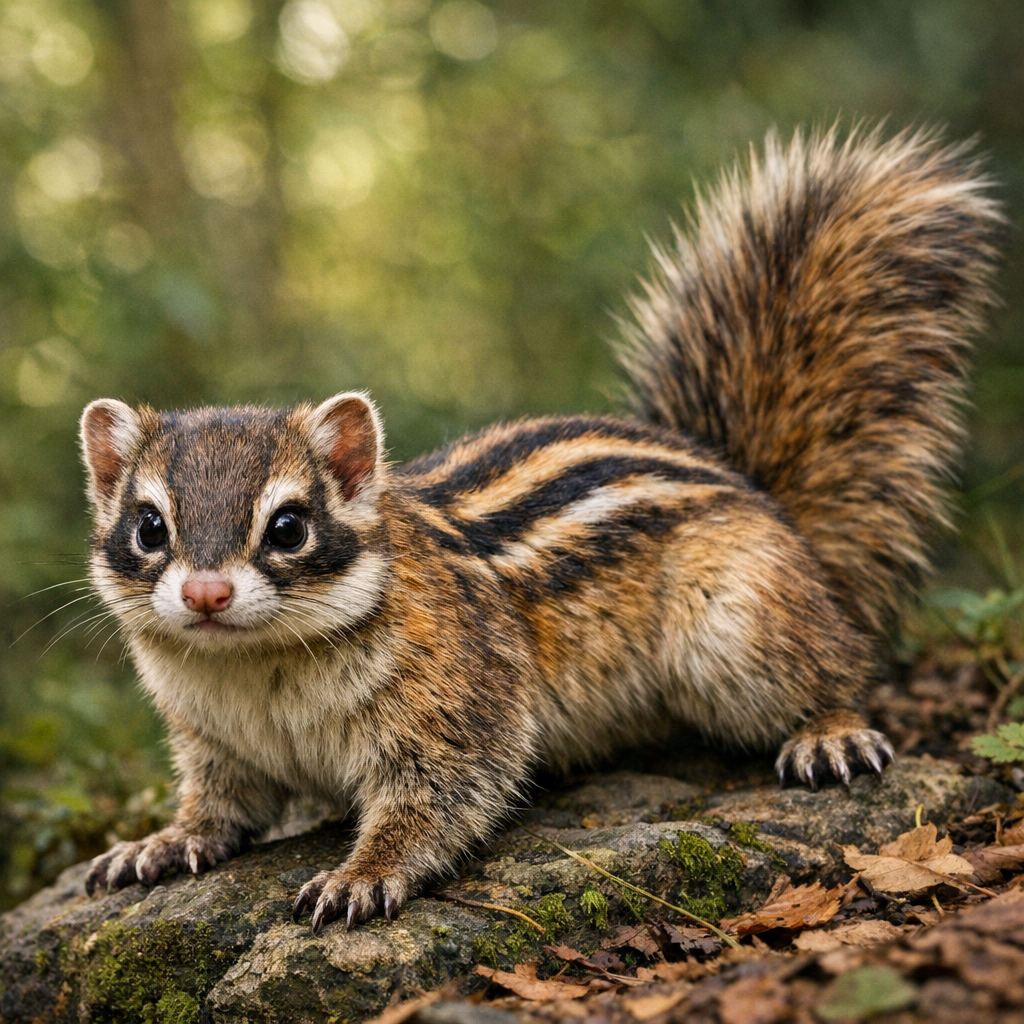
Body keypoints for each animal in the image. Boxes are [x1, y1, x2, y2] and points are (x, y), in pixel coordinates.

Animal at [78, 126, 1002, 931]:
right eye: (150, 527)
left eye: (289, 527)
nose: (205, 593)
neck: (256, 672)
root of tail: (761, 499)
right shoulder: (215, 745)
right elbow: (221, 807)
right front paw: (158, 844)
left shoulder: (454, 706)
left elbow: (441, 799)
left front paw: (360, 876)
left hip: (739, 620)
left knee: (838, 667)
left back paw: (829, 734)